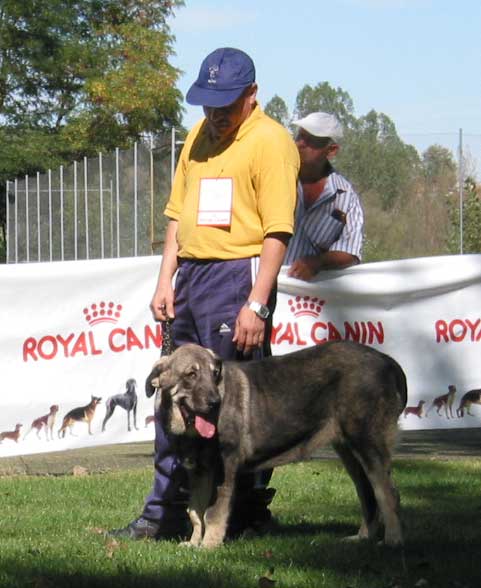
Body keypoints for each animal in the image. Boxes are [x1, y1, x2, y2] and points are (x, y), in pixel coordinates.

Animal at [145, 342, 404, 548]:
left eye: (215, 374)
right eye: (191, 375)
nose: (215, 402)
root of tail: (387, 360)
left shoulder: (224, 468)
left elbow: (213, 513)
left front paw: (209, 546)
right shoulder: (199, 472)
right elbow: (195, 512)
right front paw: (193, 543)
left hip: (368, 443)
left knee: (387, 493)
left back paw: (392, 541)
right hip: (350, 452)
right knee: (368, 495)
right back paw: (363, 538)